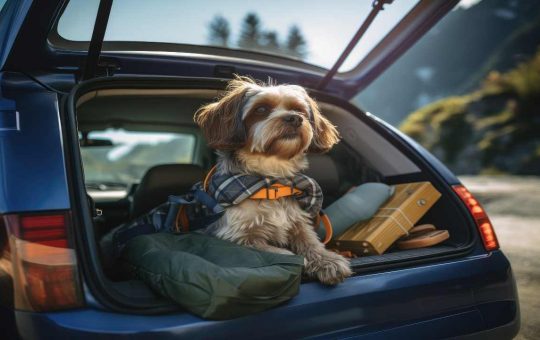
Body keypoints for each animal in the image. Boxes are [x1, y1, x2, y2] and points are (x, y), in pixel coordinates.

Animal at [194, 76, 350, 284]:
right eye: (261, 109)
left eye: (299, 109)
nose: (295, 118)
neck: (272, 180)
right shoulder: (237, 235)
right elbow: (274, 250)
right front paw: (298, 261)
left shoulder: (298, 222)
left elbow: (310, 241)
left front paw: (328, 261)